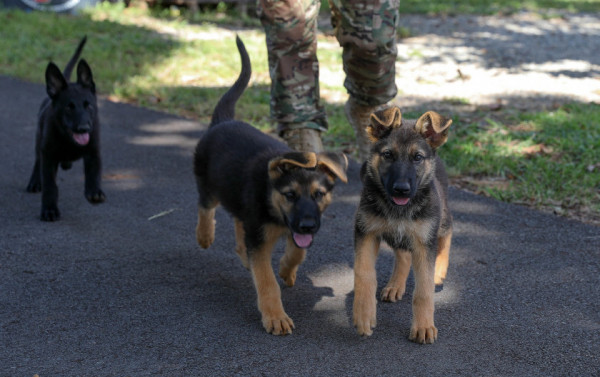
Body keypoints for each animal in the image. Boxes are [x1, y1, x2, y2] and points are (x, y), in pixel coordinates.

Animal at [26, 36, 104, 220]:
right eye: (69, 107)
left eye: (89, 105)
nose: (83, 128)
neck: (69, 141)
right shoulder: (48, 156)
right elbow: (50, 185)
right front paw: (49, 209)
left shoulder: (94, 149)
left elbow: (94, 171)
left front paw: (94, 192)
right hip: (39, 138)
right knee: (37, 160)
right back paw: (35, 181)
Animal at [195, 36, 350, 334]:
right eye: (290, 195)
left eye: (319, 194)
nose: (308, 226)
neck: (272, 205)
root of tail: (223, 121)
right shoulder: (260, 238)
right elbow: (266, 281)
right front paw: (275, 316)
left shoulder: (292, 229)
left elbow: (297, 252)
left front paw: (287, 270)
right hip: (207, 182)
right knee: (206, 207)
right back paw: (205, 235)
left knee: (237, 221)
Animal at [350, 106, 452, 344]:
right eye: (388, 155)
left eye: (417, 157)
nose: (401, 190)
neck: (398, 211)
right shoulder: (366, 232)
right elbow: (364, 274)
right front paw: (364, 314)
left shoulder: (424, 241)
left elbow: (423, 290)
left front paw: (423, 326)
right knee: (404, 255)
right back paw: (395, 285)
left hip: (440, 219)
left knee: (447, 234)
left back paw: (439, 271)